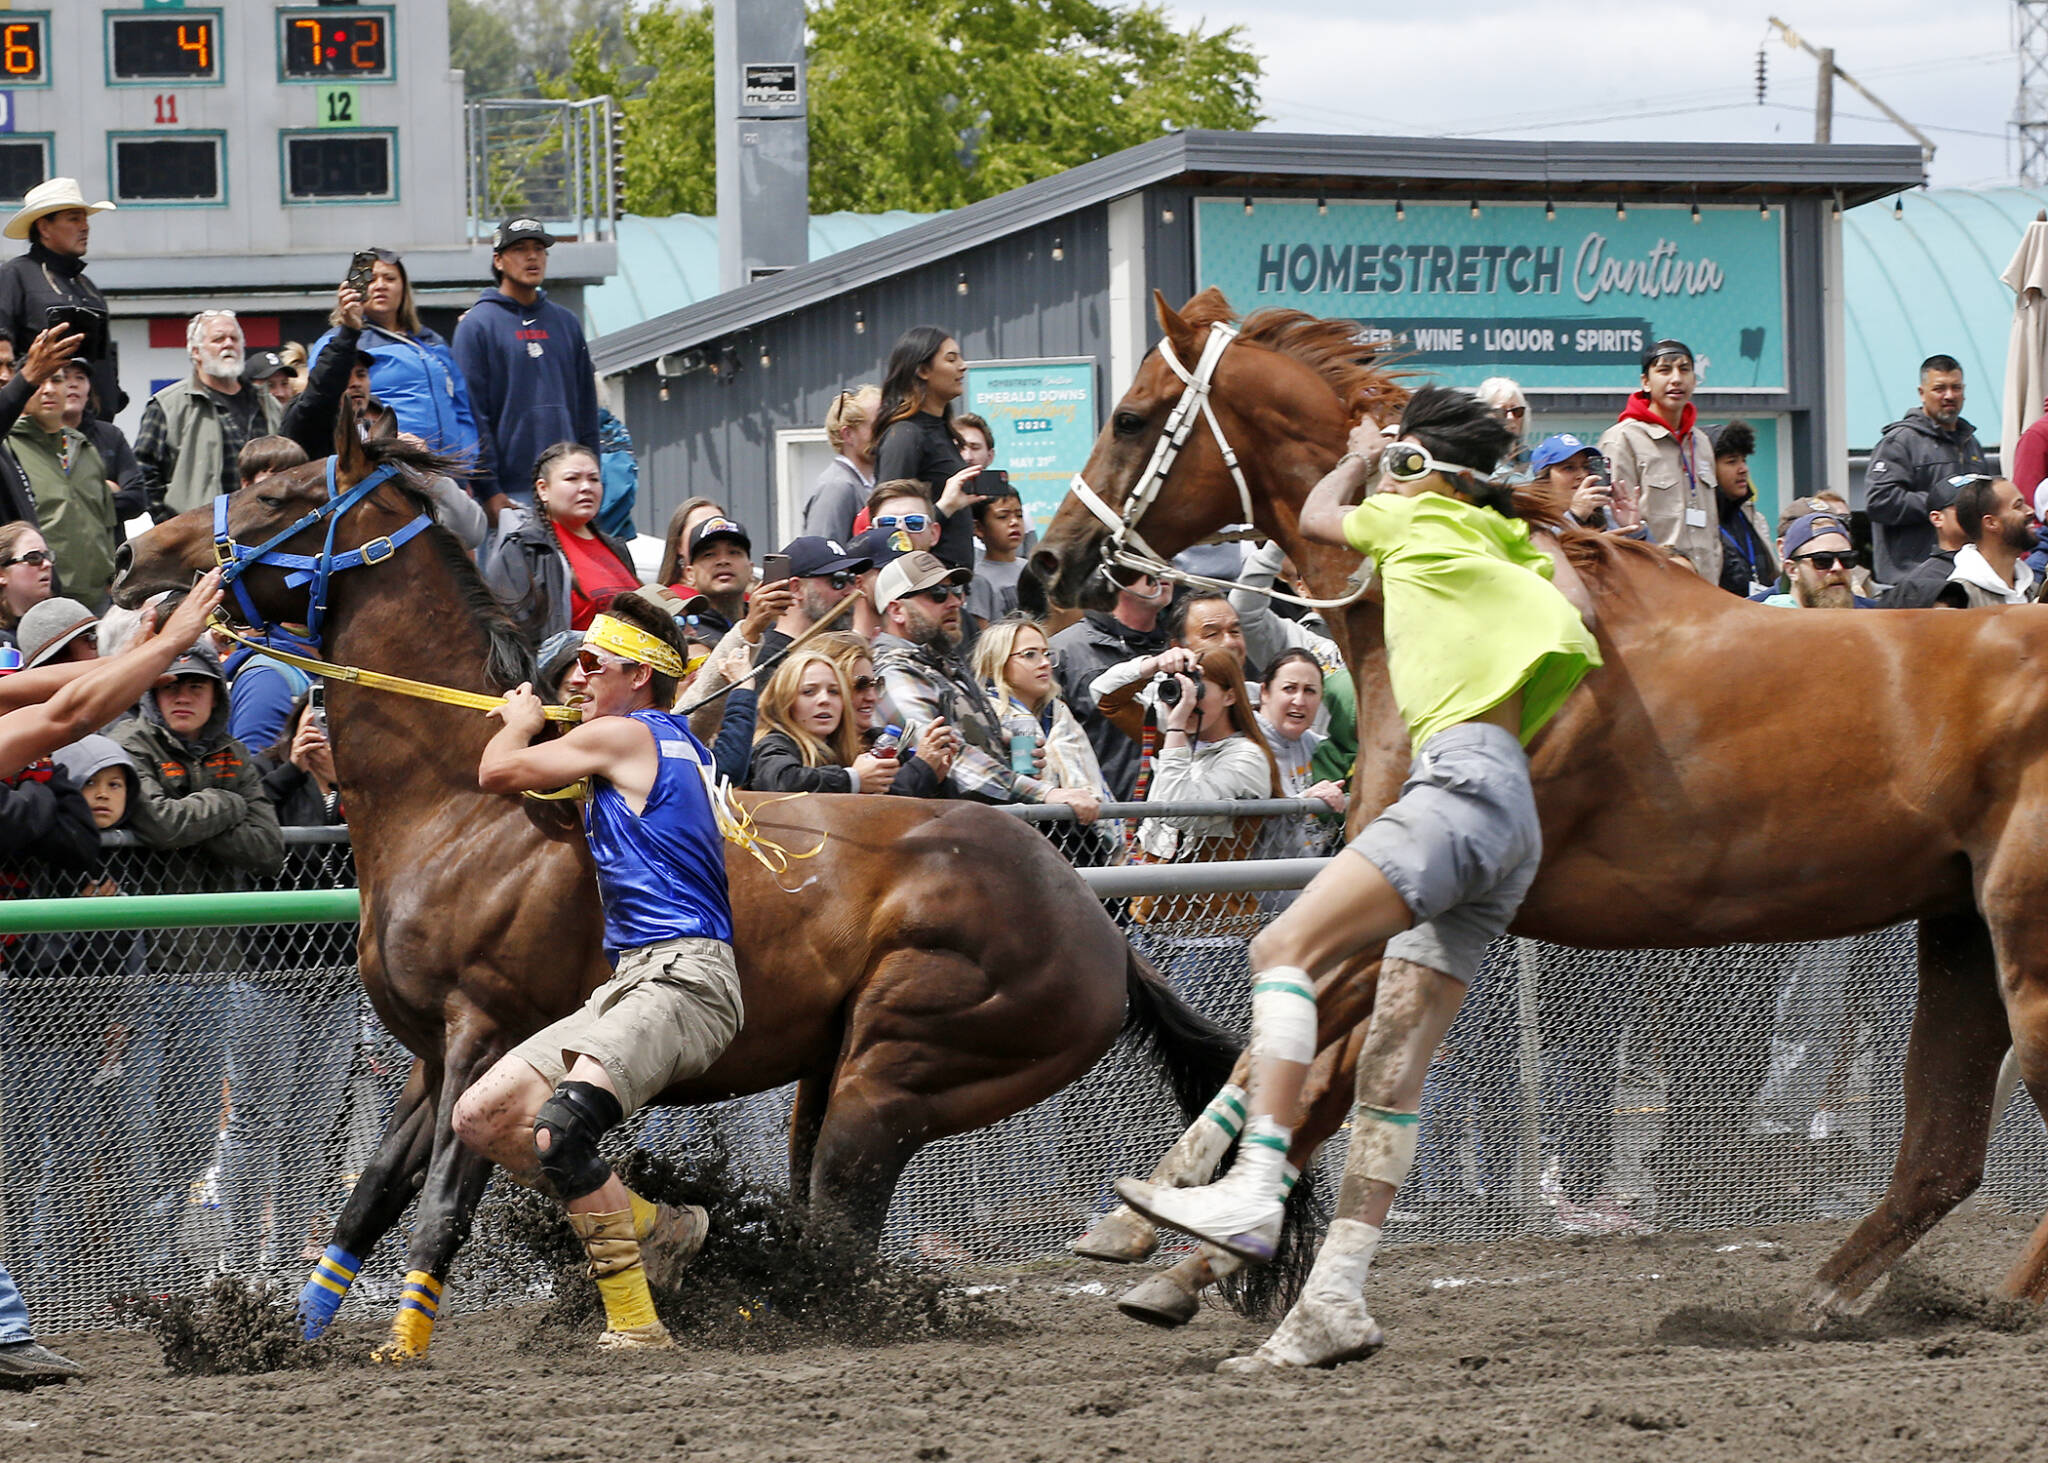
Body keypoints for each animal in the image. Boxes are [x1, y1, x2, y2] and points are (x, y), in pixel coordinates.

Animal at [119, 415, 1236, 1352]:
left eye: (273, 491)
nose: (141, 555)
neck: (462, 804)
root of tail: (1103, 934)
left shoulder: (483, 1023)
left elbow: (438, 1201)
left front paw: (401, 1344)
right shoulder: (428, 1053)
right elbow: (369, 1196)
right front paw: (291, 1333)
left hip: (899, 1068)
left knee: (837, 1229)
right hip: (835, 1073)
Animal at [1032, 284, 2048, 1319]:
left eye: (1130, 418)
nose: (1050, 562)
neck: (1462, 596)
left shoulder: (1418, 896)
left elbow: (1296, 1064)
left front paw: (1155, 1215)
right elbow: (1315, 1078)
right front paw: (1193, 1253)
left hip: (2020, 948)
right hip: (1962, 936)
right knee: (1941, 1159)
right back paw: (1834, 1297)